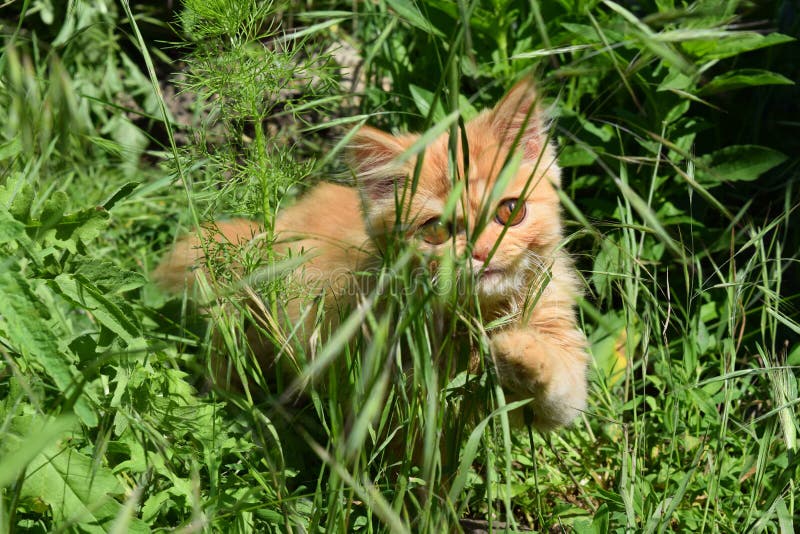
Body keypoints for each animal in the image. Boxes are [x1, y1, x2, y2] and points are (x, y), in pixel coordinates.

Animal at [156, 78, 592, 432]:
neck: (476, 316)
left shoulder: (556, 358)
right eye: (435, 230)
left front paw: (518, 351)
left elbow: (561, 389)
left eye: (510, 211)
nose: (482, 251)